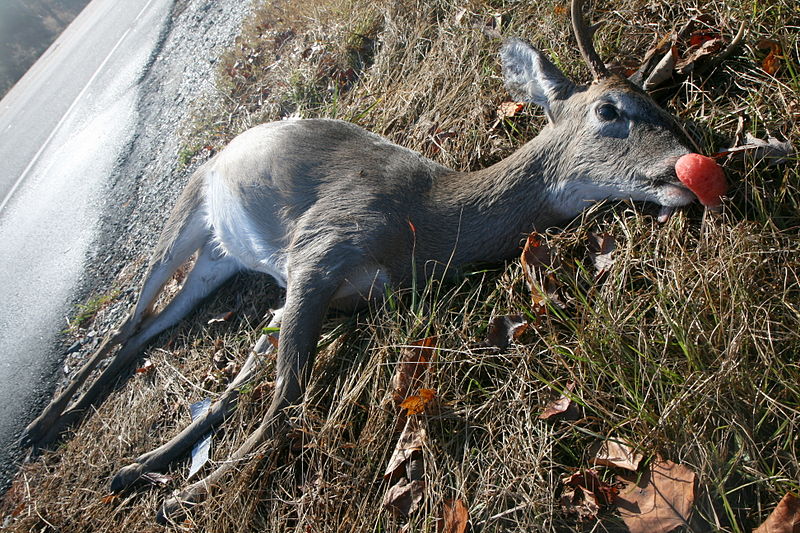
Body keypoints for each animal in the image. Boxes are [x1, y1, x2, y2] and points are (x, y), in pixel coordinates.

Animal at [20, 0, 724, 524]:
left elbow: (248, 384)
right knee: (127, 316)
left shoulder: (334, 292)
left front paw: (145, 472)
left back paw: (82, 436)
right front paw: (187, 492)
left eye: (665, 108)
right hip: (187, 209)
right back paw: (41, 427)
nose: (689, 171)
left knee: (151, 326)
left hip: (218, 259)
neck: (422, 222)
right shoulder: (320, 245)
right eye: (610, 110)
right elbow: (285, 392)